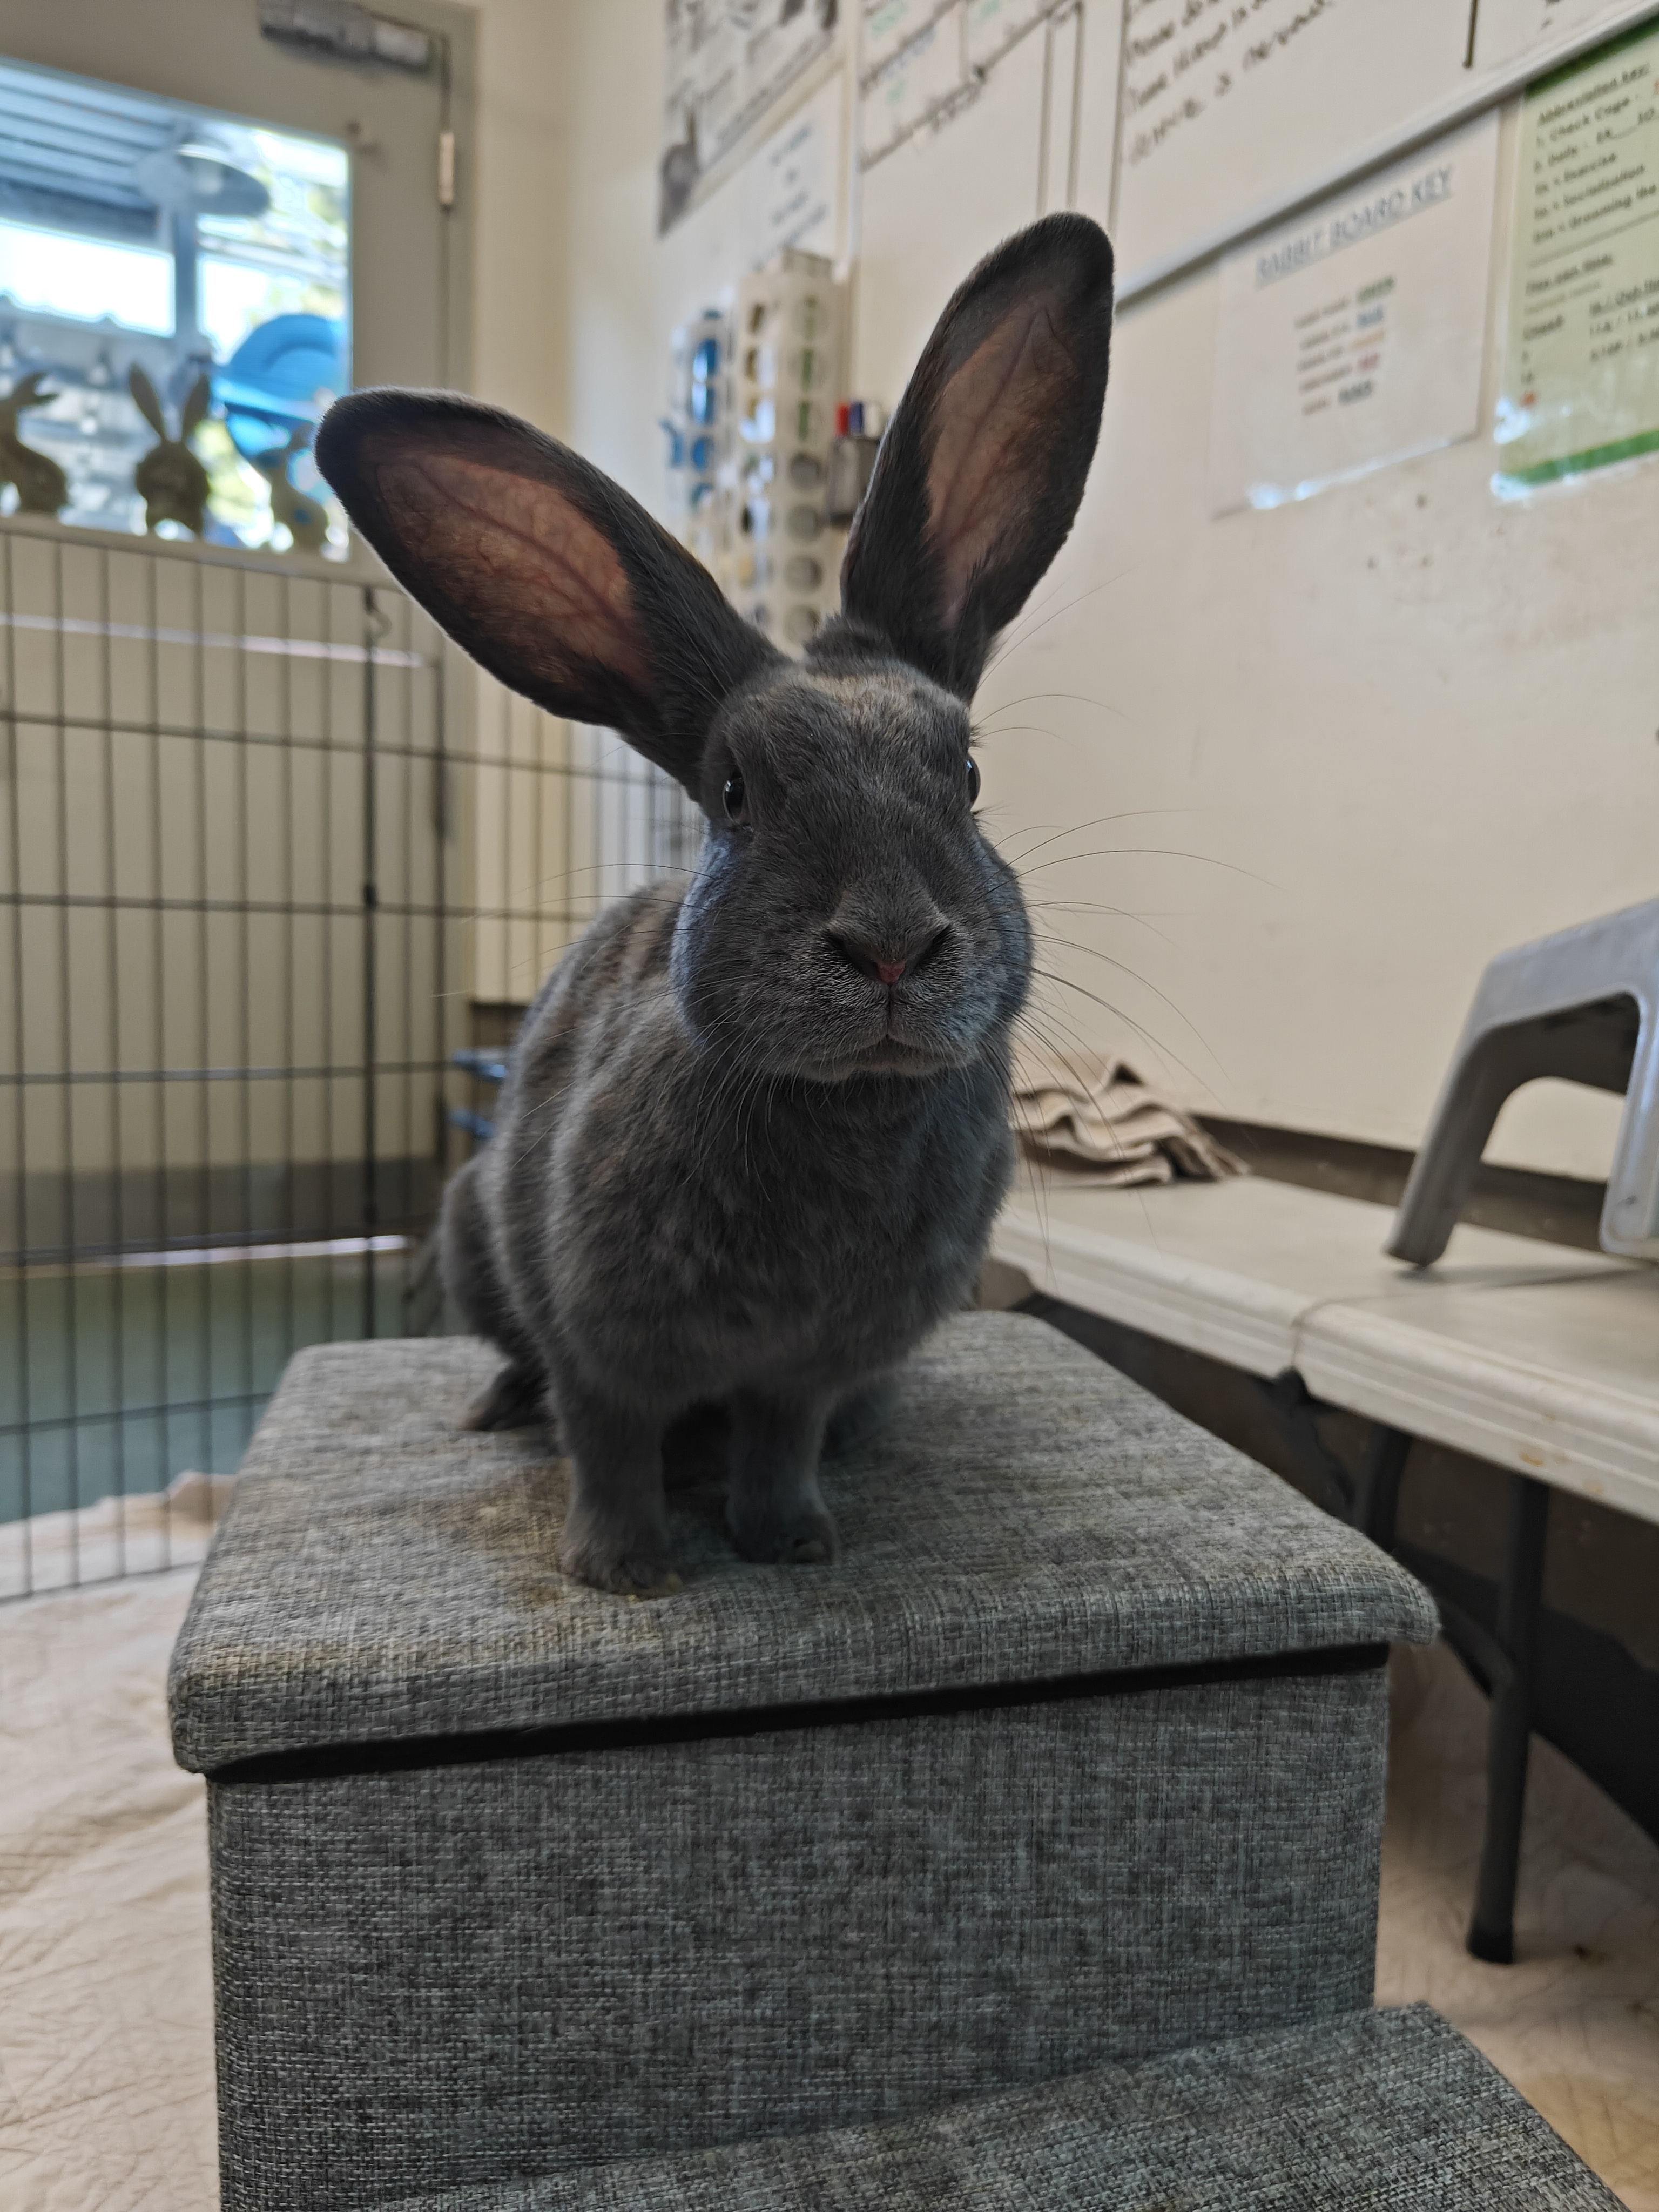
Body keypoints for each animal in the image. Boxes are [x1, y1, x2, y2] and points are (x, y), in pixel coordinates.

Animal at [316, 220, 1110, 1593]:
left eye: (964, 778)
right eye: (733, 793)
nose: (889, 947)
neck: (846, 1112)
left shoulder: (802, 1368)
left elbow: (779, 1439)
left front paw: (791, 1540)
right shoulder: (601, 1340)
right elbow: (607, 1441)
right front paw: (626, 1571)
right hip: (471, 1231)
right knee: (522, 1371)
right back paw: (494, 1410)